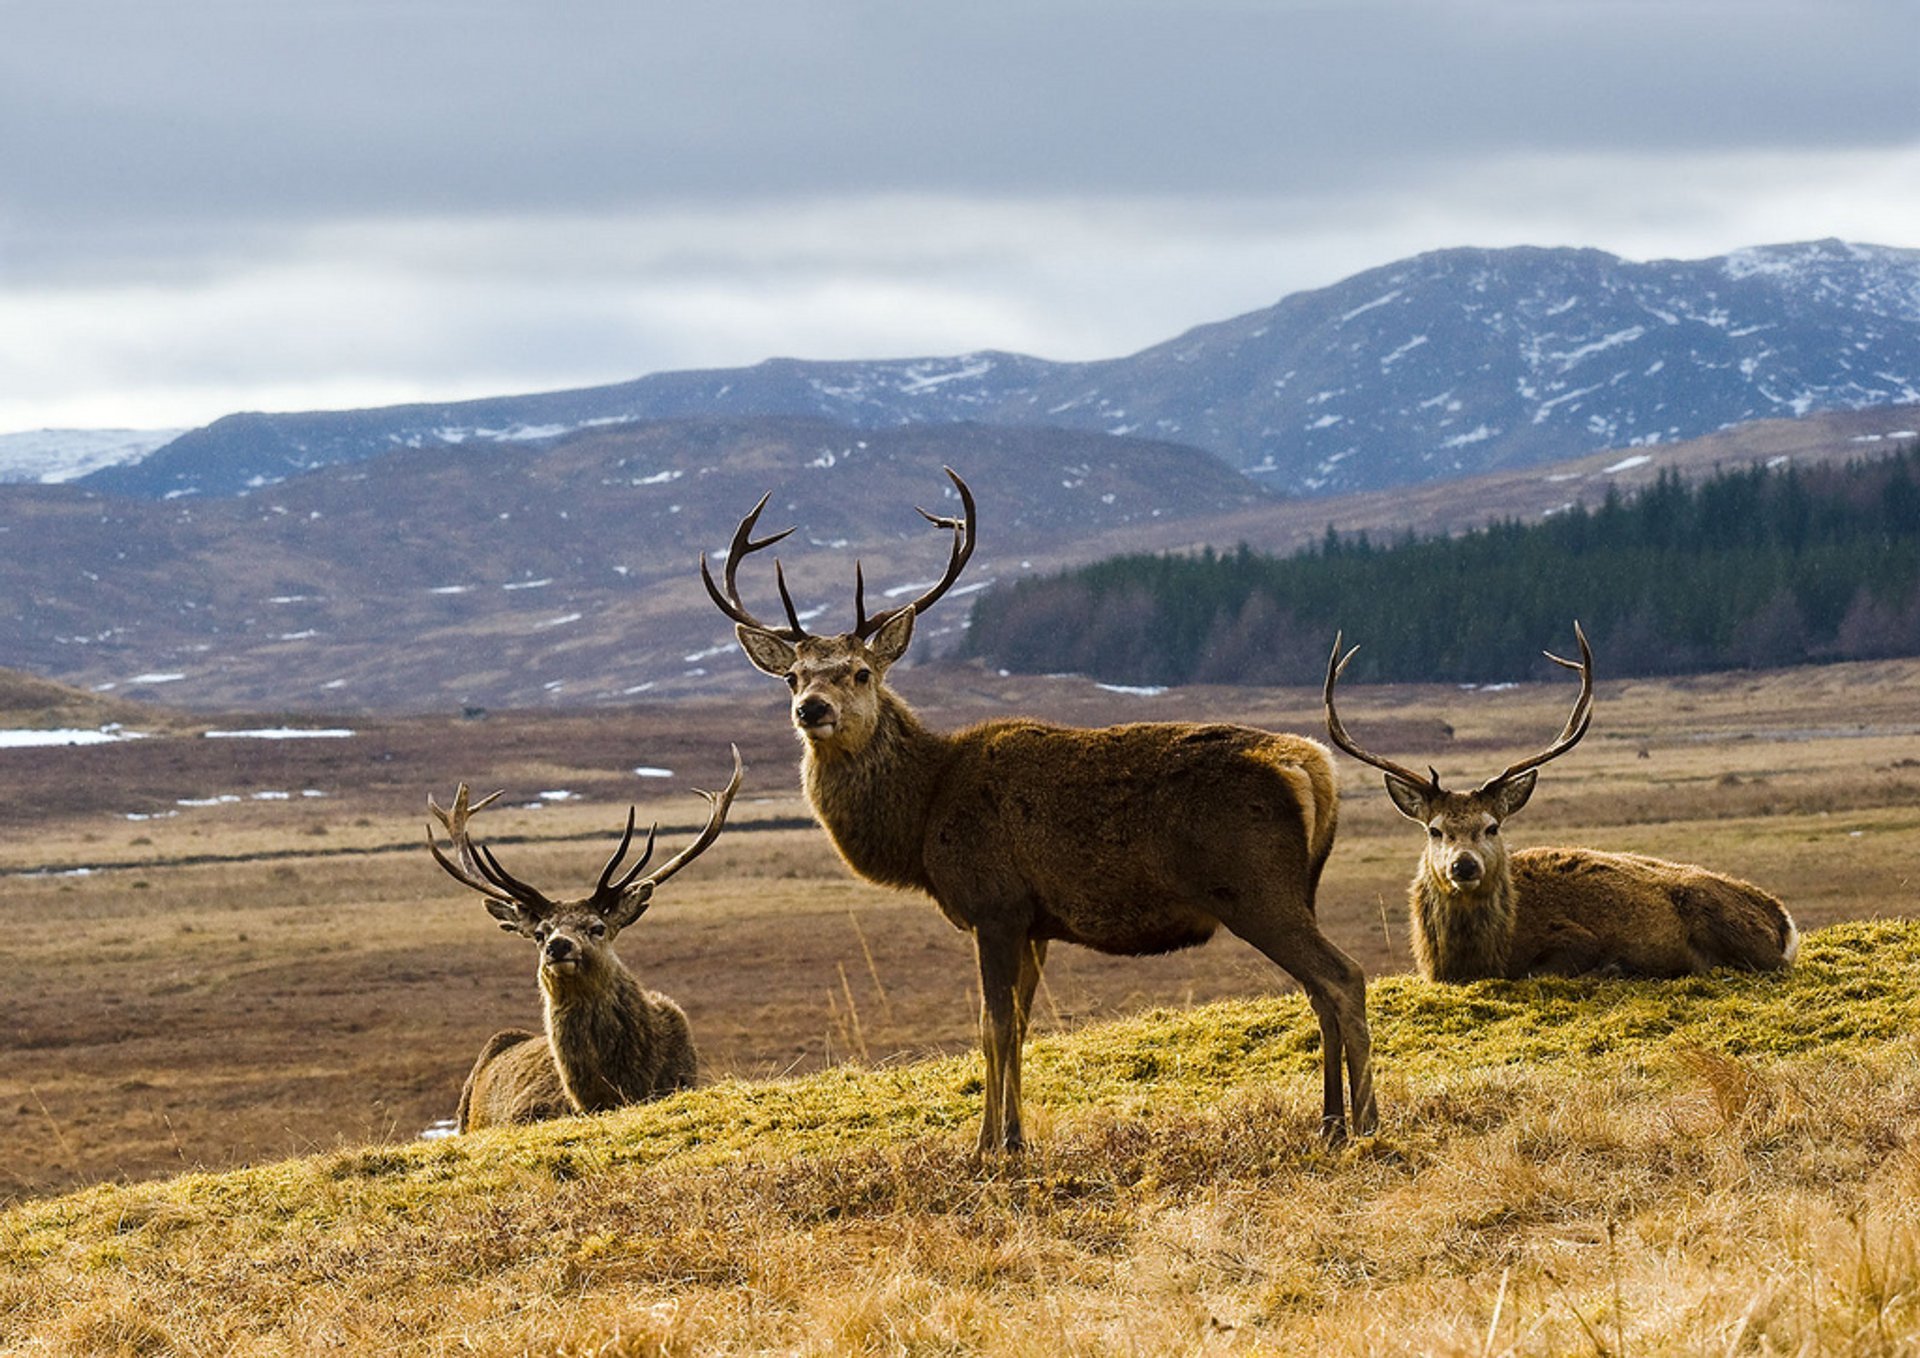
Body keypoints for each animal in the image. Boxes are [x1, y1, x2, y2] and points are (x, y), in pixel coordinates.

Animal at [698, 472, 1374, 1152]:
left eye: (861, 672)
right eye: (791, 676)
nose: (812, 709)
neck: (923, 818)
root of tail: (1311, 765)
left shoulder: (993, 904)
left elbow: (992, 1026)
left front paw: (988, 1147)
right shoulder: (1035, 921)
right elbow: (1019, 1026)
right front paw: (1012, 1137)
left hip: (1253, 887)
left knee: (1343, 976)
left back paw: (1366, 1123)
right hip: (1299, 890)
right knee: (1320, 991)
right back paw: (1331, 1123)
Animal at [1328, 622, 1789, 983]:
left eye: (1492, 826)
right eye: (1434, 829)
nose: (1464, 865)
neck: (1476, 959)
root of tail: (1783, 922)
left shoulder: (1573, 939)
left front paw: (1610, 967)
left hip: (1720, 918)